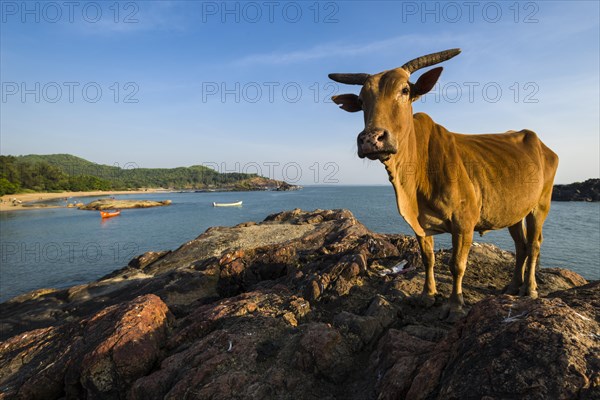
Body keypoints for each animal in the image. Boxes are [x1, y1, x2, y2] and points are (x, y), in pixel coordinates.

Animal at [328, 48, 556, 320]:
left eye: (405, 90)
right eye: (362, 100)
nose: (372, 139)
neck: (415, 174)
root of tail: (541, 143)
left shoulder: (464, 222)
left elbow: (457, 264)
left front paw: (455, 305)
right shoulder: (419, 224)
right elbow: (428, 258)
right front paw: (428, 295)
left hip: (540, 205)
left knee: (533, 244)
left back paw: (529, 289)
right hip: (513, 210)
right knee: (520, 246)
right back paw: (512, 286)